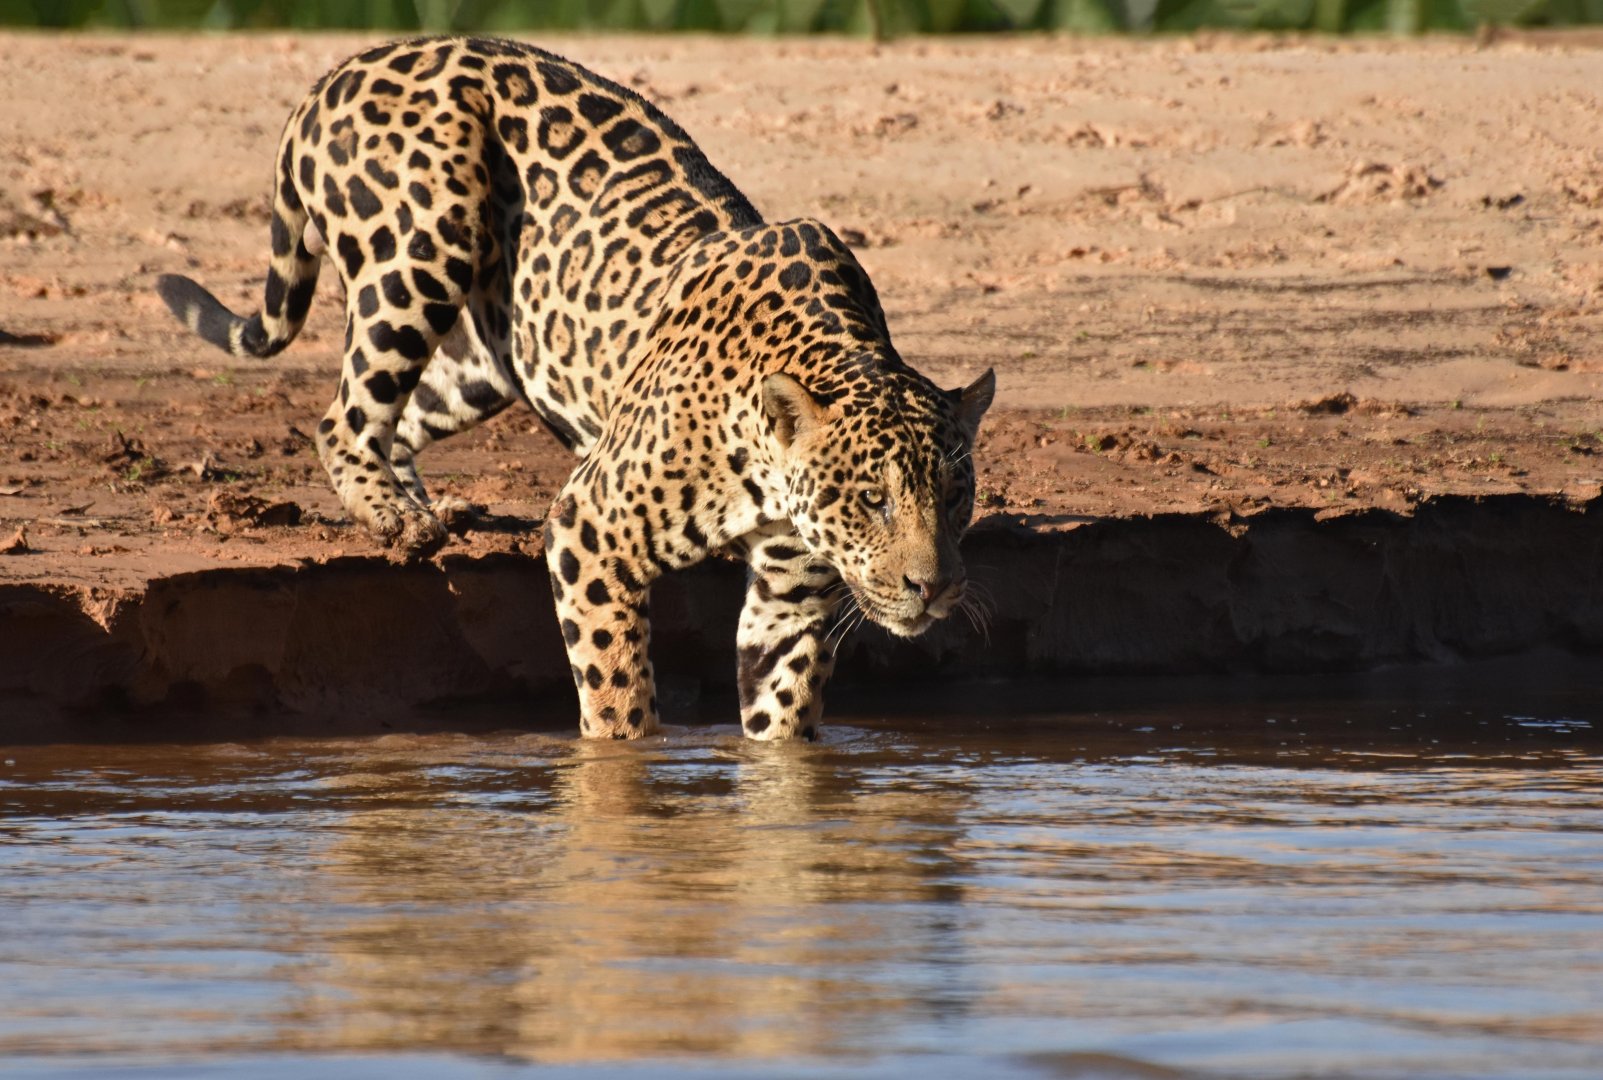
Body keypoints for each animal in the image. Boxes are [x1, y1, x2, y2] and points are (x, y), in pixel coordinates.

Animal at [156, 36, 994, 741]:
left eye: (955, 496)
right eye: (872, 500)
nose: (934, 589)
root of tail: (342, 67)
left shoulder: (791, 595)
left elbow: (778, 721)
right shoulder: (591, 530)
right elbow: (617, 697)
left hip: (493, 356)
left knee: (410, 411)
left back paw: (429, 508)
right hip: (421, 250)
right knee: (344, 417)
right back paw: (397, 520)